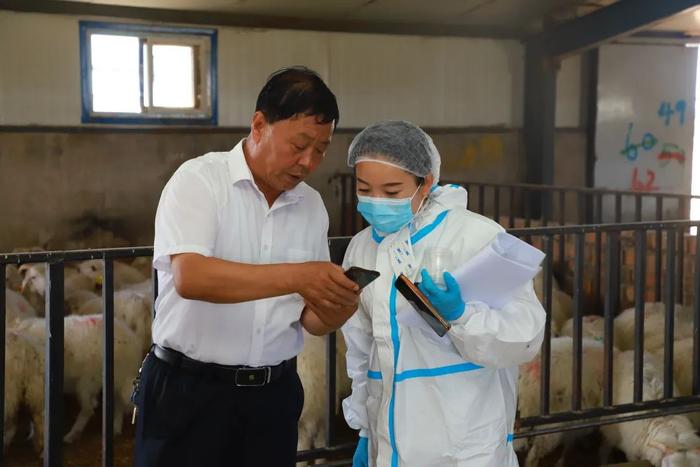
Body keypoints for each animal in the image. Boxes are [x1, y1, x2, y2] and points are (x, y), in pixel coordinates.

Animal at [13, 314, 142, 442]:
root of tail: (131, 339)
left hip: (89, 380)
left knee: (88, 409)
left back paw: (72, 434)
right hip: (113, 379)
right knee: (117, 402)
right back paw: (115, 428)